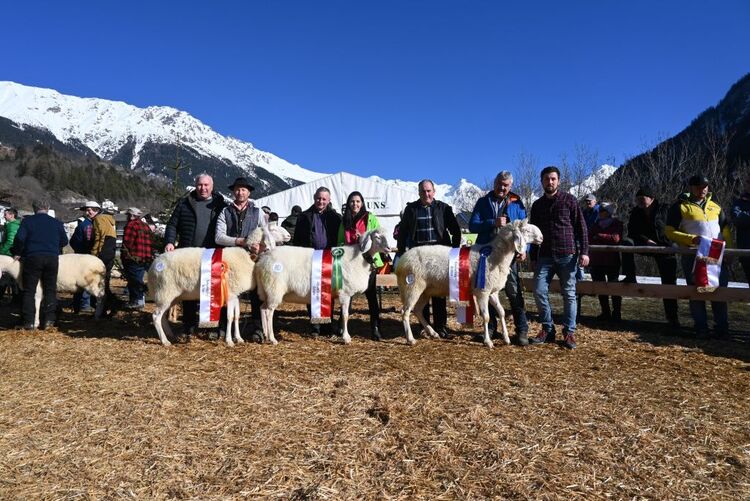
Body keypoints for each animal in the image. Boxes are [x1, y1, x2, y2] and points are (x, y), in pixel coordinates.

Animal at [151, 225, 294, 346]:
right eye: (273, 229)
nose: (289, 235)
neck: (248, 256)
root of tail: (154, 264)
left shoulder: (235, 294)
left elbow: (236, 316)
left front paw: (239, 338)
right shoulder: (230, 294)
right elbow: (229, 317)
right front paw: (229, 341)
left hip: (170, 295)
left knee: (162, 316)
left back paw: (170, 335)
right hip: (165, 290)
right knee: (156, 316)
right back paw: (165, 341)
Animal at [254, 227, 390, 344]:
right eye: (377, 237)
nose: (389, 248)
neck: (360, 257)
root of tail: (262, 261)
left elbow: (343, 315)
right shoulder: (345, 292)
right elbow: (345, 315)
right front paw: (346, 338)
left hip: (266, 290)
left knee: (262, 308)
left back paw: (265, 335)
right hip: (274, 289)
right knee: (268, 311)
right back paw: (272, 339)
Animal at [396, 219, 544, 348]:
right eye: (526, 230)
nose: (542, 237)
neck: (494, 256)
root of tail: (402, 260)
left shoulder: (492, 292)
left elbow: (501, 312)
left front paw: (506, 338)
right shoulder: (482, 291)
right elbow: (486, 317)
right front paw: (488, 341)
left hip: (425, 291)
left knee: (417, 310)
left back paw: (433, 333)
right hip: (411, 286)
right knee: (405, 312)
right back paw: (410, 339)